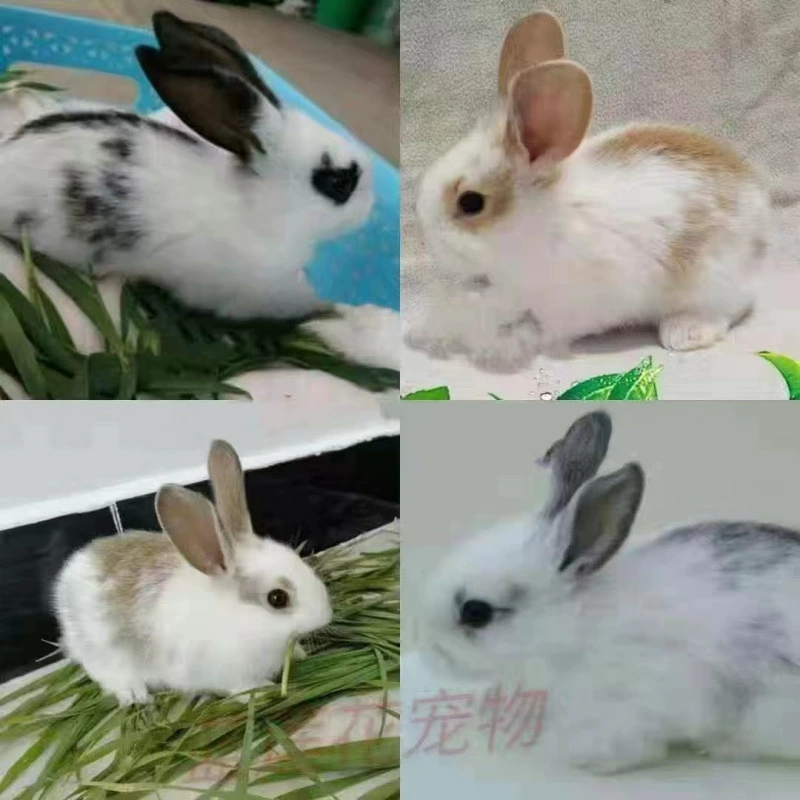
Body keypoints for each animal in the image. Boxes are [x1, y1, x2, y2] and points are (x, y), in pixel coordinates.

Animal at [53, 439, 332, 705]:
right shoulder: (227, 674)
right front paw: (263, 691)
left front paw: (300, 653)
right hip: (104, 655)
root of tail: (73, 570)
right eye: (277, 598)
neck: (238, 617)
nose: (326, 615)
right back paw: (135, 695)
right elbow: (240, 688)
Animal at [408, 10, 773, 373]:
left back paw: (684, 332)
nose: (424, 234)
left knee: (732, 307)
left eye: (471, 203)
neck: (535, 225)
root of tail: (757, 205)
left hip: (711, 279)